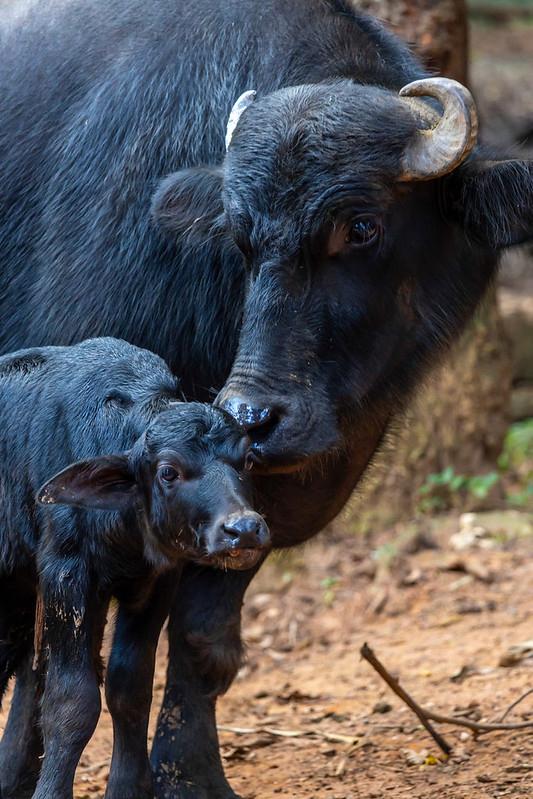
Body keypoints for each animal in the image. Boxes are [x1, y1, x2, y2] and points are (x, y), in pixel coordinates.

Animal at [0, 1, 532, 797]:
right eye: (240, 238)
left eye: (361, 226)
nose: (253, 416)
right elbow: (55, 667)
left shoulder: (242, 511)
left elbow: (203, 641)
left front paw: (189, 774)